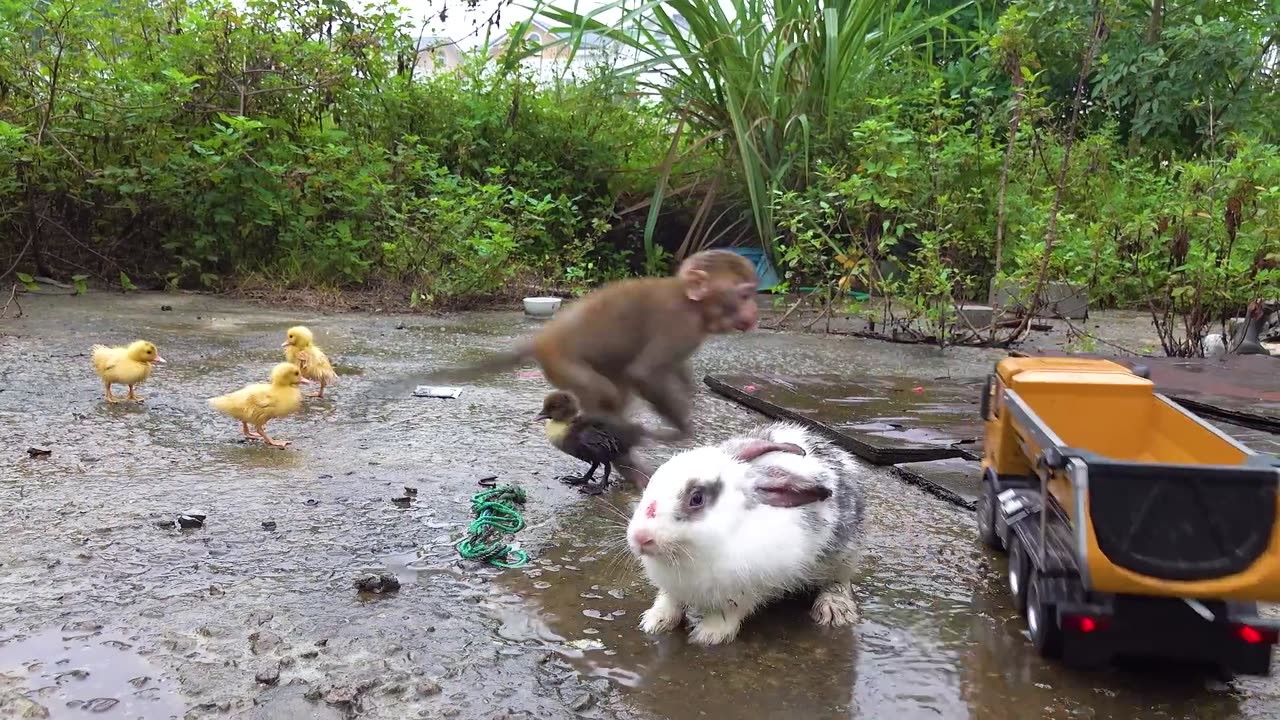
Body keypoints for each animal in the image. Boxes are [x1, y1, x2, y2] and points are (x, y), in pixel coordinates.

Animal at [394, 252, 757, 443]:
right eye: (744, 294)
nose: (754, 312)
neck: (694, 304)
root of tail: (542, 338)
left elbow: (671, 369)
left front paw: (690, 397)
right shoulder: (680, 324)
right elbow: (646, 373)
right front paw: (683, 430)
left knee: (618, 387)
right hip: (562, 362)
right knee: (605, 390)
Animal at [624, 417, 865, 640]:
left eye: (697, 498)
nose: (639, 537)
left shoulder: (746, 591)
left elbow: (728, 614)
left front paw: (709, 635)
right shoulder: (671, 587)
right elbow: (669, 600)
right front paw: (655, 622)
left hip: (843, 556)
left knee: (839, 581)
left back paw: (834, 610)